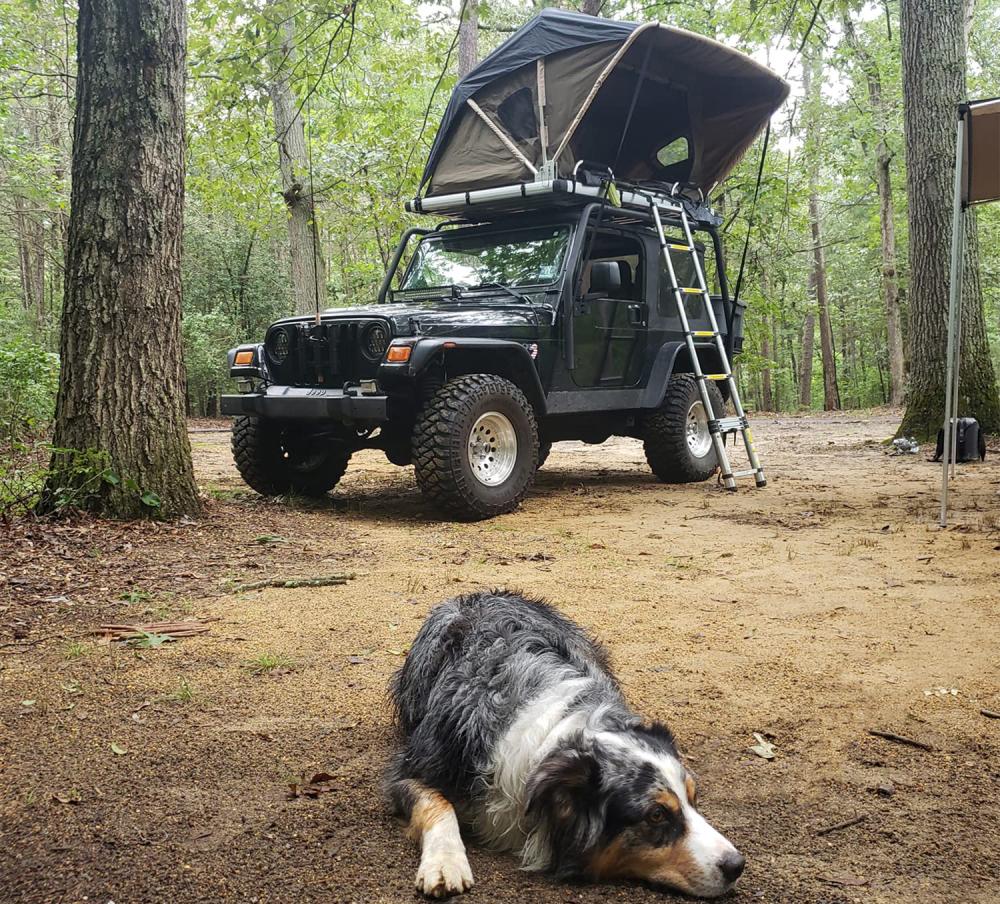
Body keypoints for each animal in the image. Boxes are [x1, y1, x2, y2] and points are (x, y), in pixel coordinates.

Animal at [386, 588, 748, 896]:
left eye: (693, 799)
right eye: (656, 815)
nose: (737, 865)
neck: (559, 735)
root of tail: (481, 592)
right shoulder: (412, 768)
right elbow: (437, 803)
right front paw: (445, 862)